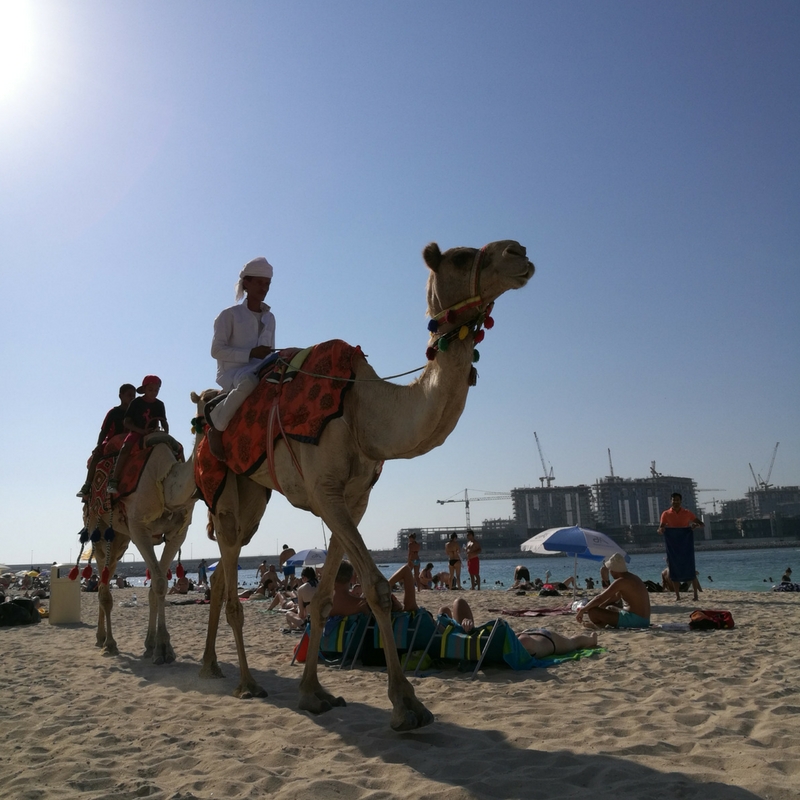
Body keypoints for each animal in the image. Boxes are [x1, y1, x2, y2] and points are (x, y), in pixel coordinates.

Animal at [83, 422, 203, 660]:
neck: (165, 482)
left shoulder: (178, 533)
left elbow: (157, 587)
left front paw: (153, 645)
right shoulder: (139, 528)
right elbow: (159, 583)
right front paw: (162, 649)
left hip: (120, 538)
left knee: (106, 576)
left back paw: (101, 638)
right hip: (97, 528)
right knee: (103, 584)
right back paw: (108, 643)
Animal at [195, 239, 532, 732]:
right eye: (458, 257)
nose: (518, 251)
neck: (362, 408)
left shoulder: (353, 500)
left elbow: (324, 600)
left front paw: (314, 693)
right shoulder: (324, 490)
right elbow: (376, 588)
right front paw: (407, 706)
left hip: (255, 494)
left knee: (222, 573)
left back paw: (211, 666)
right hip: (221, 488)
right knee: (228, 566)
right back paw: (247, 683)